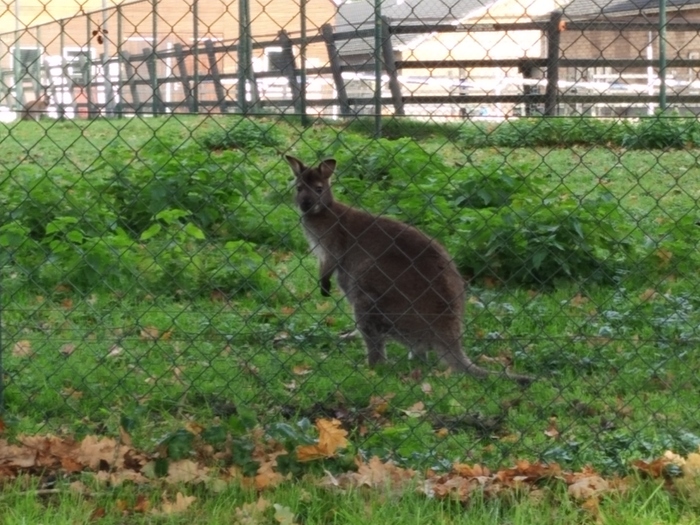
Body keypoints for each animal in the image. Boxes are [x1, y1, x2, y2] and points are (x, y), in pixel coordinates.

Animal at [286, 155, 534, 385]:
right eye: (298, 188)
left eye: (319, 189)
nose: (305, 205)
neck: (323, 212)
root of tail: (448, 332)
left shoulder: (334, 244)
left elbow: (330, 263)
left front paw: (324, 287)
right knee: (418, 353)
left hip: (371, 291)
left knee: (379, 344)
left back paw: (369, 366)